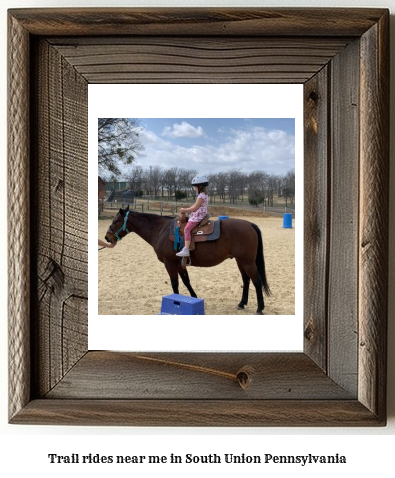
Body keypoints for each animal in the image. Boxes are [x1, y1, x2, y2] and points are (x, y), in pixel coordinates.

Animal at [105, 204, 272, 314]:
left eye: (115, 221)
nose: (107, 237)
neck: (161, 230)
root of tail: (250, 224)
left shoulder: (170, 263)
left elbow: (175, 284)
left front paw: (176, 301)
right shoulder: (180, 264)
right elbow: (186, 281)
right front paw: (194, 298)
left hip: (247, 261)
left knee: (256, 281)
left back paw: (259, 308)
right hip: (240, 261)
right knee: (246, 280)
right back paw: (242, 303)